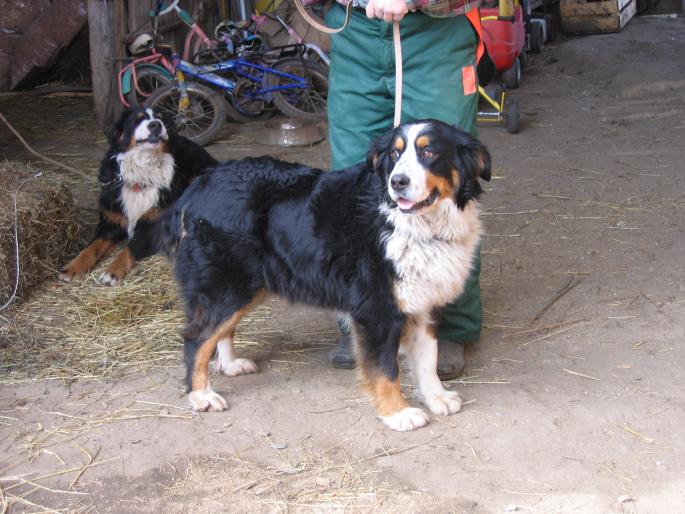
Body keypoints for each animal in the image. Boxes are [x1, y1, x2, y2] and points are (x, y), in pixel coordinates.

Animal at [61, 107, 218, 284]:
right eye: (137, 120)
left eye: (161, 119)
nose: (156, 124)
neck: (142, 176)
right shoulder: (110, 223)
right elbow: (91, 247)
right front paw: (72, 267)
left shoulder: (152, 227)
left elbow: (129, 249)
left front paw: (112, 271)